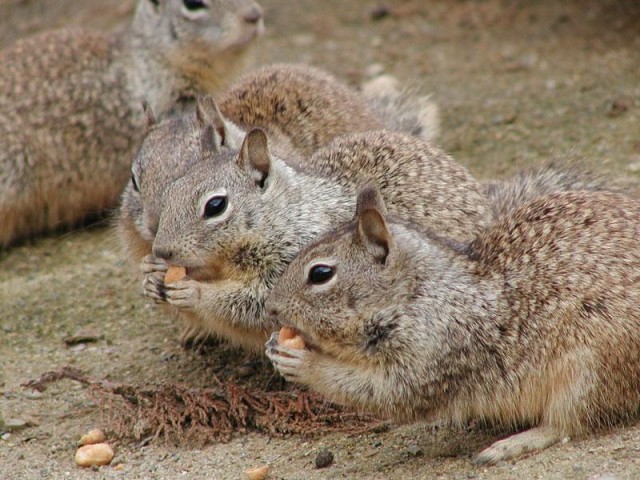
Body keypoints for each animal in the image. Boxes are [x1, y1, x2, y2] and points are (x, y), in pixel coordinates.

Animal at [144, 129, 490, 350]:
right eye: (170, 191)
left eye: (215, 206)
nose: (161, 249)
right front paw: (151, 274)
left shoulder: (291, 261)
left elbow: (253, 306)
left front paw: (195, 293)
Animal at [264, 186, 640, 464]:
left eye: (320, 273)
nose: (271, 307)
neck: (419, 292)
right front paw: (273, 346)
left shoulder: (433, 353)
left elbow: (383, 393)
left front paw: (301, 362)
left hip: (588, 372)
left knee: (568, 424)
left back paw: (509, 445)